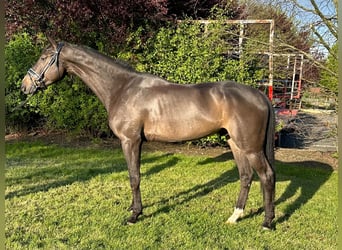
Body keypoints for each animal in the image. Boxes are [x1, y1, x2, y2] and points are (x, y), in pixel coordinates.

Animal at [21, 36, 276, 229]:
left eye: (44, 57)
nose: (24, 86)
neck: (122, 88)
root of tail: (260, 95)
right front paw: (134, 209)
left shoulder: (130, 140)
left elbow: (134, 177)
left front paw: (134, 215)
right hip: (236, 144)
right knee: (246, 176)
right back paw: (235, 216)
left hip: (251, 148)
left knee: (266, 176)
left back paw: (267, 222)